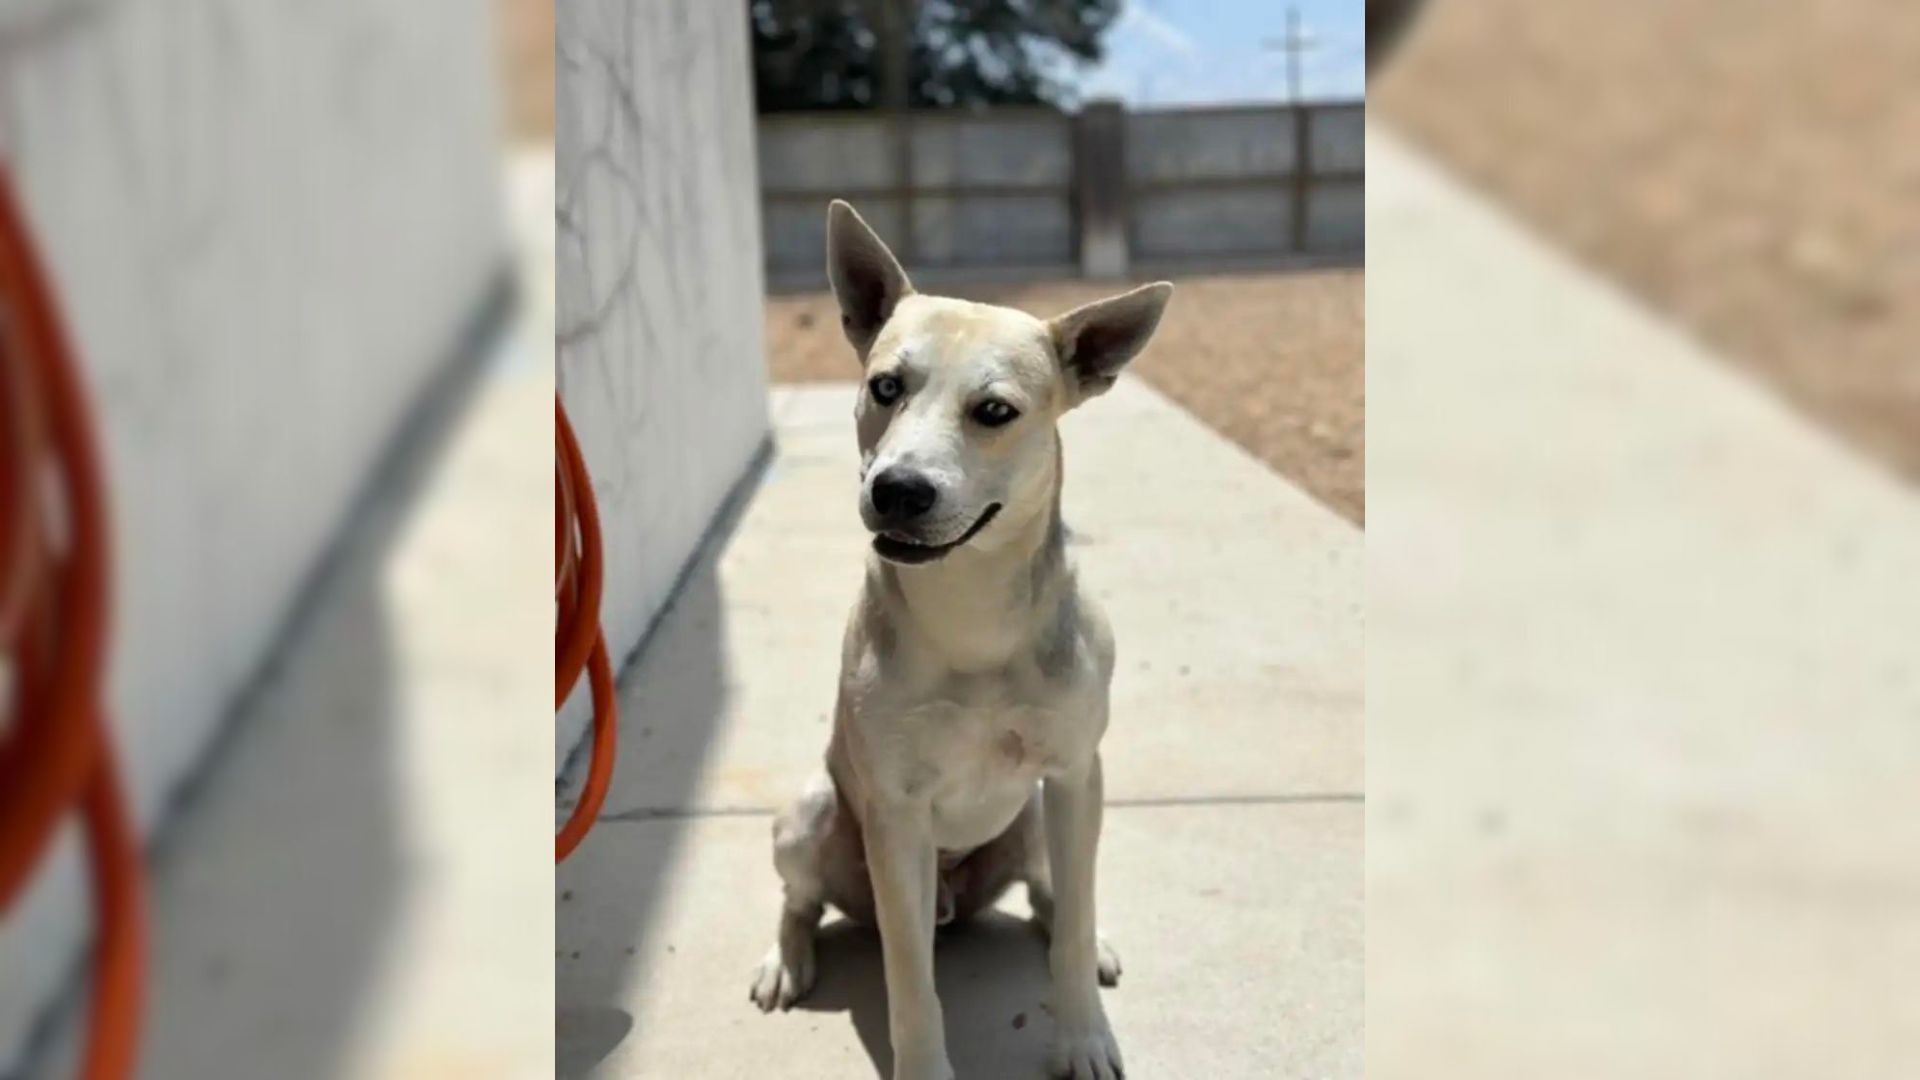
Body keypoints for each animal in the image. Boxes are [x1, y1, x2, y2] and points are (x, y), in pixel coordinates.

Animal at [748, 195, 1167, 1076]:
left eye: (995, 411)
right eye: (886, 385)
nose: (899, 490)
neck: (971, 611)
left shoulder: (1075, 773)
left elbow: (1074, 920)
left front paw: (1083, 1036)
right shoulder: (897, 815)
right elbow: (910, 974)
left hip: (1038, 818)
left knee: (1055, 897)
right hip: (811, 816)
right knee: (799, 900)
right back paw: (785, 958)